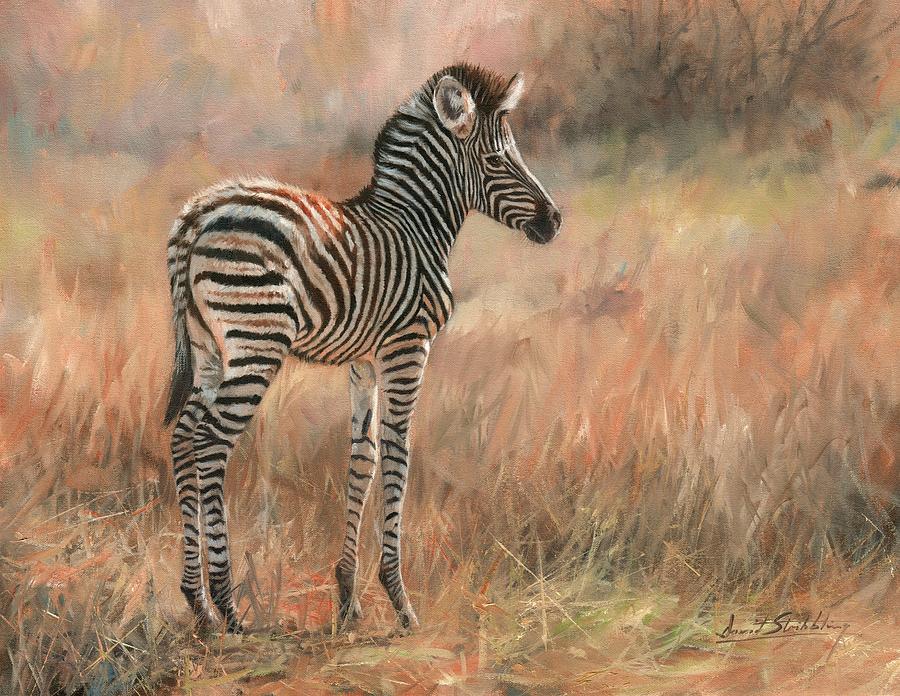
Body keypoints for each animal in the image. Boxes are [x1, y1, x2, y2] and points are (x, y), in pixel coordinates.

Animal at [164, 63, 561, 634]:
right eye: (495, 161)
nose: (555, 221)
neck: (415, 226)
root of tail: (196, 215)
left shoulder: (363, 361)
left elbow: (362, 459)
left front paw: (349, 597)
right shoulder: (407, 348)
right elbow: (398, 455)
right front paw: (400, 601)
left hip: (210, 349)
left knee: (183, 437)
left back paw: (197, 602)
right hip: (257, 341)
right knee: (211, 443)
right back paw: (227, 606)